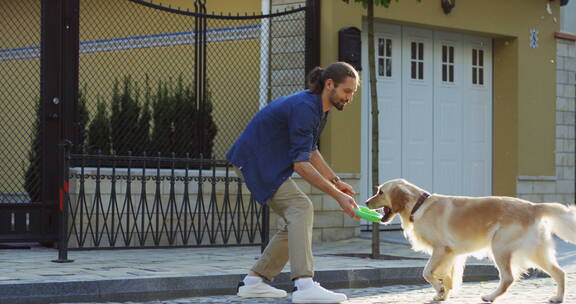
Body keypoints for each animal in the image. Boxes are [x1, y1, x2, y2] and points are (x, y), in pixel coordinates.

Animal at [364, 178, 576, 302]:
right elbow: (446, 276)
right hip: (536, 251)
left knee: (508, 278)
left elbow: (427, 273)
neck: (419, 205)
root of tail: (533, 206)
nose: (365, 201)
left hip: (500, 247)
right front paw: (441, 293)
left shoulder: (441, 249)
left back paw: (490, 296)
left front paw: (439, 290)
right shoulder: (450, 254)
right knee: (560, 272)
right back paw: (558, 298)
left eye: (380, 192)